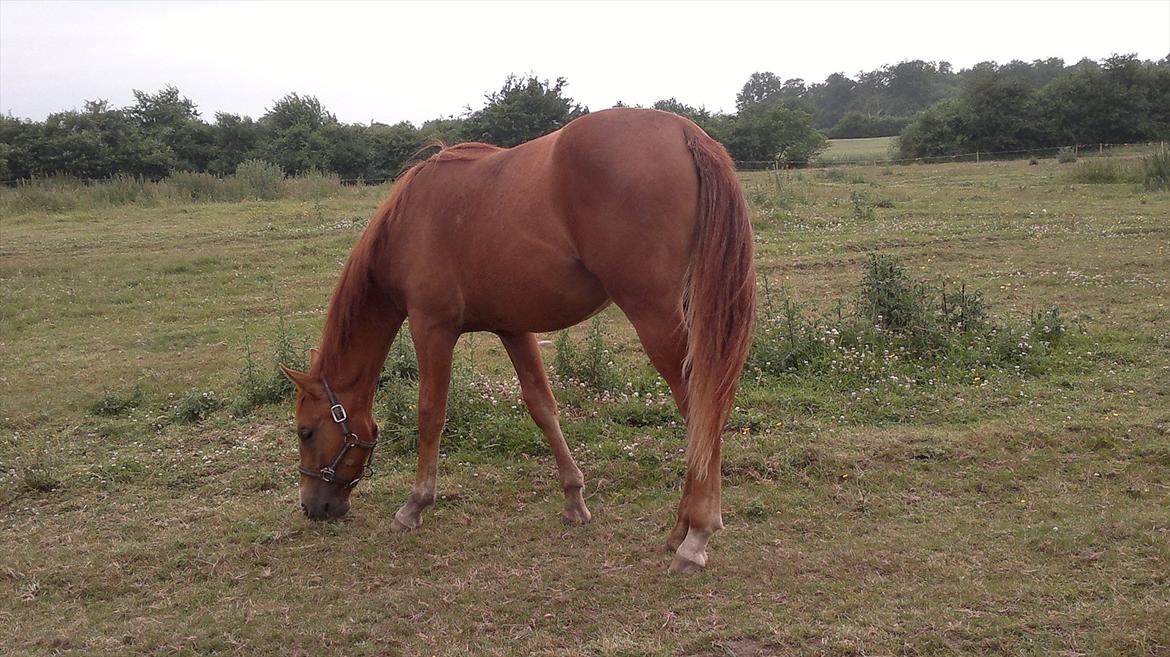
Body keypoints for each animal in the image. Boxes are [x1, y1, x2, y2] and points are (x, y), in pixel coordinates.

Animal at [283, 107, 758, 568]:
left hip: (653, 313)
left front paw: (414, 505)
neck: (408, 224)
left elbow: (431, 413)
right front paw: (574, 501)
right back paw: (679, 528)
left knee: (698, 405)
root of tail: (684, 132)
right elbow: (542, 406)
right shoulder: (513, 328)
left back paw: (695, 535)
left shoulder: (431, 328)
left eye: (306, 432)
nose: (312, 506)